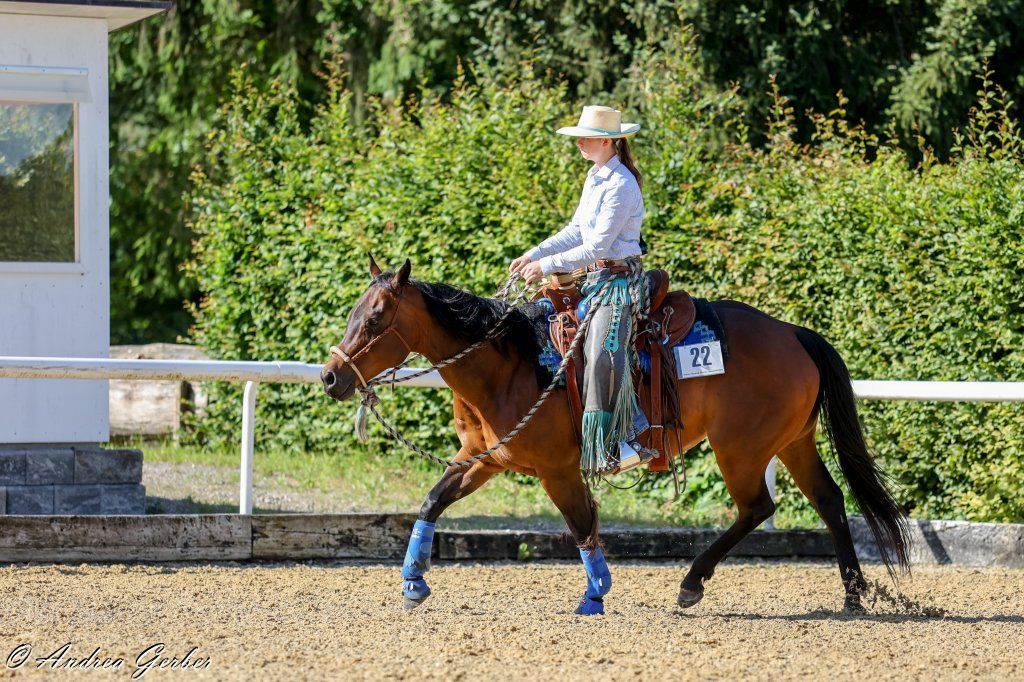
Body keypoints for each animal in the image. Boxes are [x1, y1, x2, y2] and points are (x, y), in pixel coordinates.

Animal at [320, 256, 910, 614]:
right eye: (353, 312)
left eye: (375, 319)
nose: (330, 377)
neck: (507, 363)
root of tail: (793, 333)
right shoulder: (484, 458)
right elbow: (432, 501)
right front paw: (413, 582)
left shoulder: (557, 470)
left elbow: (582, 526)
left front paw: (596, 594)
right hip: (791, 442)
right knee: (829, 501)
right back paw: (853, 595)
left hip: (742, 449)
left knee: (758, 507)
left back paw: (692, 582)